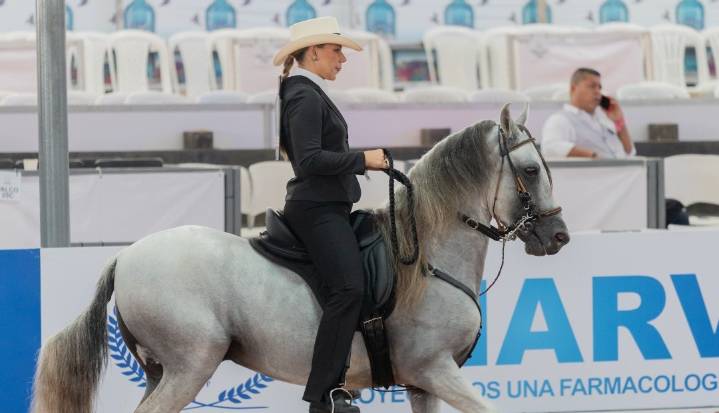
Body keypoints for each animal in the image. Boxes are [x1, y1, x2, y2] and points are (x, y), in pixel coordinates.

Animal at [31, 103, 569, 413]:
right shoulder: (435, 369)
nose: (558, 236)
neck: (427, 258)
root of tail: (125, 259)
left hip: (162, 370)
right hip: (191, 364)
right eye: (528, 170)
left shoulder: (424, 386)